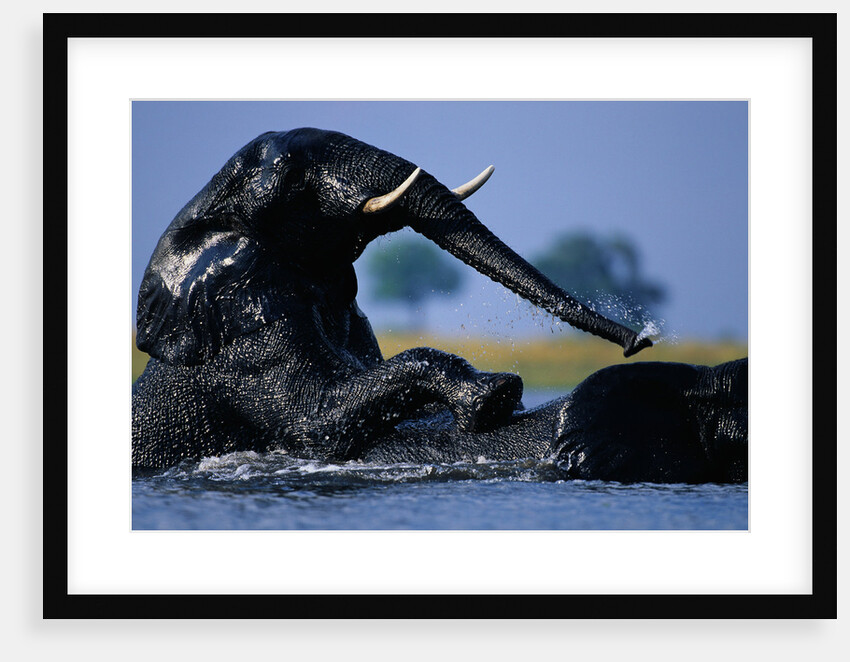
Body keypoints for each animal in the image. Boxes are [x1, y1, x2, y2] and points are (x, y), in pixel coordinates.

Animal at [132, 128, 747, 483]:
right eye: (292, 176)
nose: (640, 338)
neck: (210, 208)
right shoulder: (241, 312)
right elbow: (315, 421)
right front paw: (497, 394)